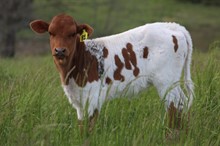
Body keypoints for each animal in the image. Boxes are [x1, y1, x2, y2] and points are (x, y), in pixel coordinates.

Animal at [30, 13, 193, 132]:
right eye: (51, 33)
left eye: (72, 33)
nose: (60, 51)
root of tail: (173, 26)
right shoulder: (79, 102)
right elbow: (81, 127)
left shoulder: (93, 98)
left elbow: (89, 129)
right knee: (182, 104)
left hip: (166, 81)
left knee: (174, 107)